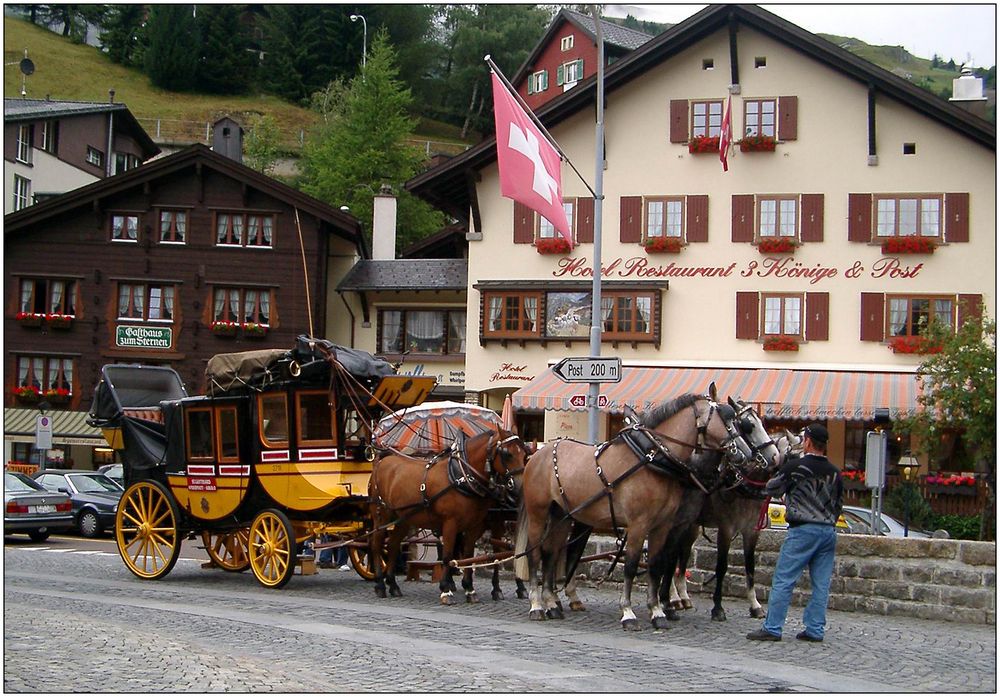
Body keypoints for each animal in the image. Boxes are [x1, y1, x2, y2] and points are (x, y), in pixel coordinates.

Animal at [370, 426, 528, 600]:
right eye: (507, 454)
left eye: (524, 454)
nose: (520, 488)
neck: (462, 476)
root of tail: (383, 461)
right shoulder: (451, 523)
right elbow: (447, 554)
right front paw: (446, 589)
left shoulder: (474, 525)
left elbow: (469, 554)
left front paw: (469, 588)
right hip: (382, 515)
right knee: (376, 545)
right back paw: (380, 584)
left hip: (404, 519)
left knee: (392, 545)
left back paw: (393, 584)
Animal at [516, 388, 756, 628]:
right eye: (726, 417)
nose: (746, 455)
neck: (651, 458)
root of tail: (538, 454)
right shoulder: (638, 524)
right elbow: (631, 565)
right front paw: (628, 612)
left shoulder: (662, 525)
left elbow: (656, 566)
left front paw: (657, 611)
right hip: (538, 513)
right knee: (534, 554)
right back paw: (536, 605)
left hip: (562, 515)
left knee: (551, 553)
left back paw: (551, 604)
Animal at [664, 430, 804, 620]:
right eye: (795, 458)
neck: (743, 484)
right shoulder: (726, 529)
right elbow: (721, 567)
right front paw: (718, 608)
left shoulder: (751, 532)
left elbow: (750, 567)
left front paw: (755, 606)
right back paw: (673, 598)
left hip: (691, 527)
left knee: (683, 556)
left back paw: (683, 597)